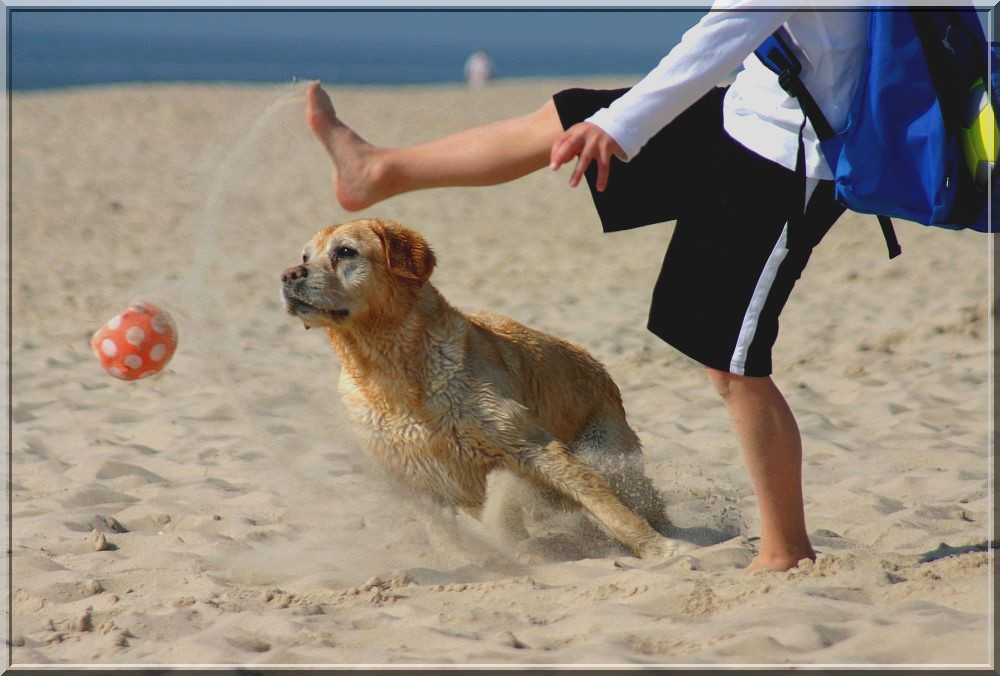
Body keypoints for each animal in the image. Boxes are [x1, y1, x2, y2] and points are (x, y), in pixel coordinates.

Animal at [286, 219, 684, 556]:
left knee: (631, 493)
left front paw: (661, 550)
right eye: (305, 256)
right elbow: (446, 536)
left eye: (346, 251)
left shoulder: (530, 444)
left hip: (609, 449)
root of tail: (596, 364)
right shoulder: (412, 478)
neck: (391, 373)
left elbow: (600, 498)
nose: (289, 275)